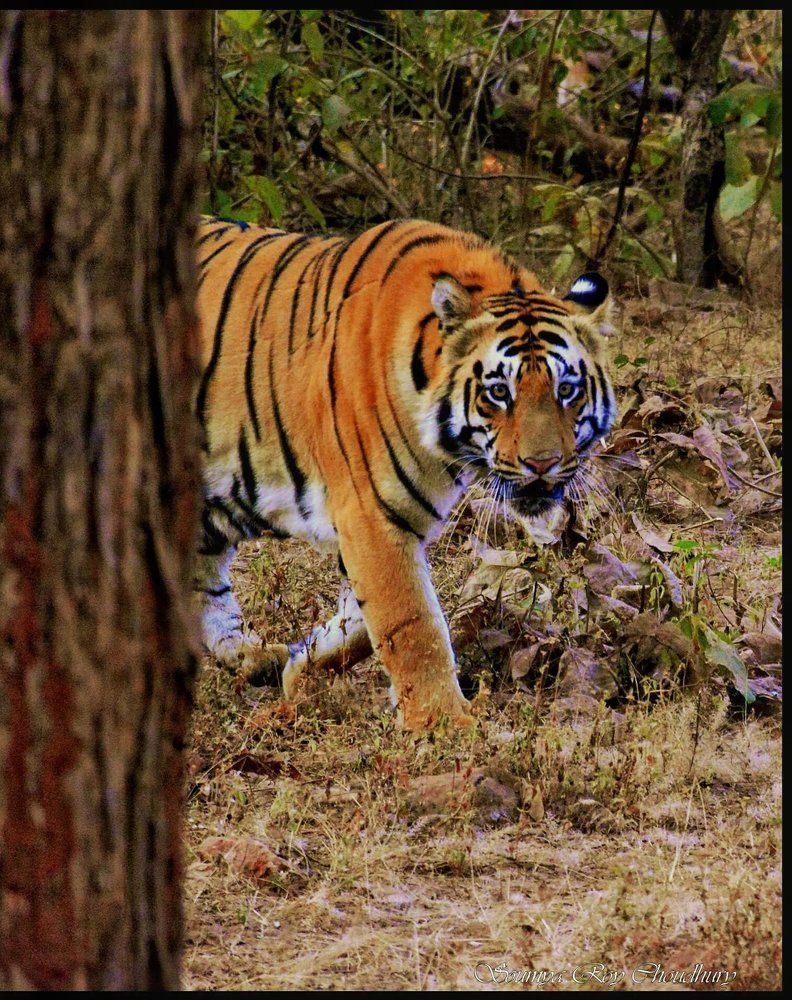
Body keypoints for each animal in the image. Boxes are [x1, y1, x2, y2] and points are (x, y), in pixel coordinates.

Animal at [194, 216, 615, 731]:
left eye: (567, 390)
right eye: (498, 392)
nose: (542, 463)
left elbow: (362, 624)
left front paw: (302, 668)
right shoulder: (371, 516)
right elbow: (413, 623)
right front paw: (446, 725)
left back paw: (253, 656)